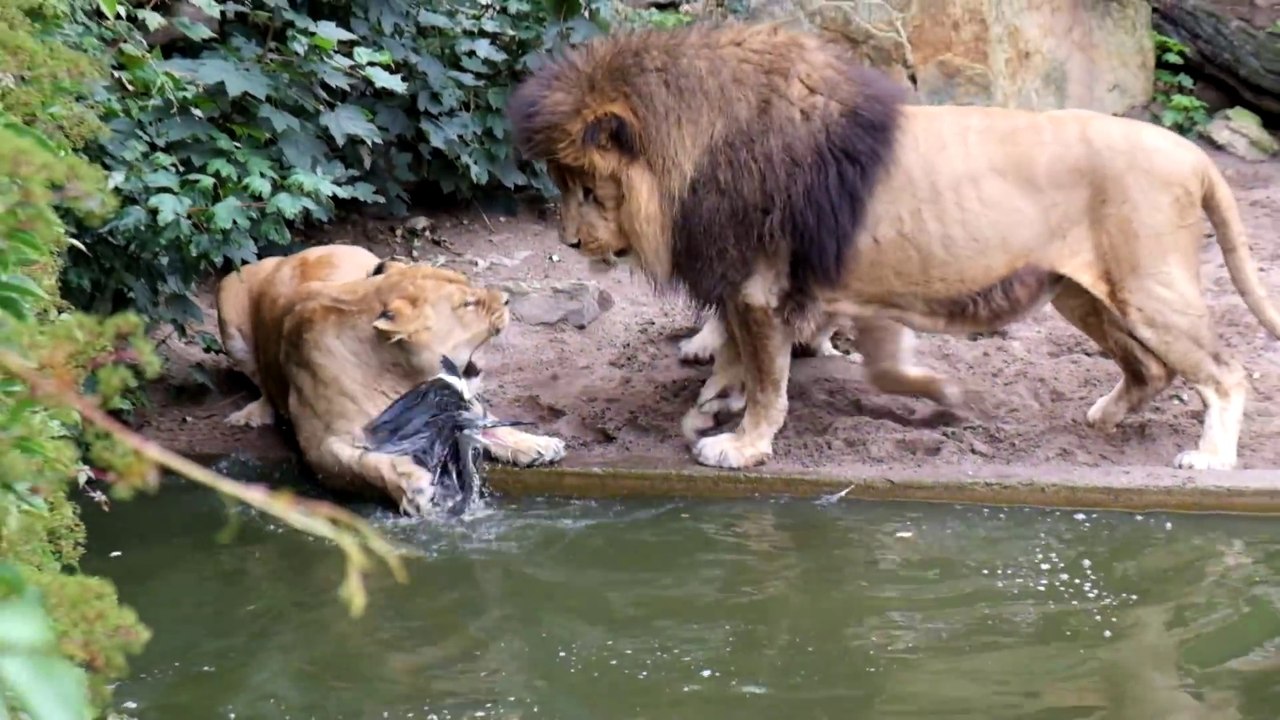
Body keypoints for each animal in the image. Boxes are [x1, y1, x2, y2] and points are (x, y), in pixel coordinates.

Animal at [215, 244, 567, 515]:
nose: (507, 299)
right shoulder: (321, 447)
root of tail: (295, 254)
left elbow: (486, 422)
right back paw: (252, 414)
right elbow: (368, 464)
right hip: (228, 292)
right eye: (467, 304)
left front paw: (537, 444)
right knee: (260, 383)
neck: (403, 375)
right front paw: (414, 488)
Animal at [507, 21, 1280, 472]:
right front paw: (711, 406)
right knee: (1150, 369)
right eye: (567, 184)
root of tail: (1191, 153)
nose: (569, 240)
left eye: (586, 187)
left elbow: (767, 379)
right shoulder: (796, 289)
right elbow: (751, 361)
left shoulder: (758, 288)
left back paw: (1209, 460)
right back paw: (1104, 418)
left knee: (1226, 371)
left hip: (1149, 289)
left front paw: (742, 444)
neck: (697, 150)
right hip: (1080, 294)